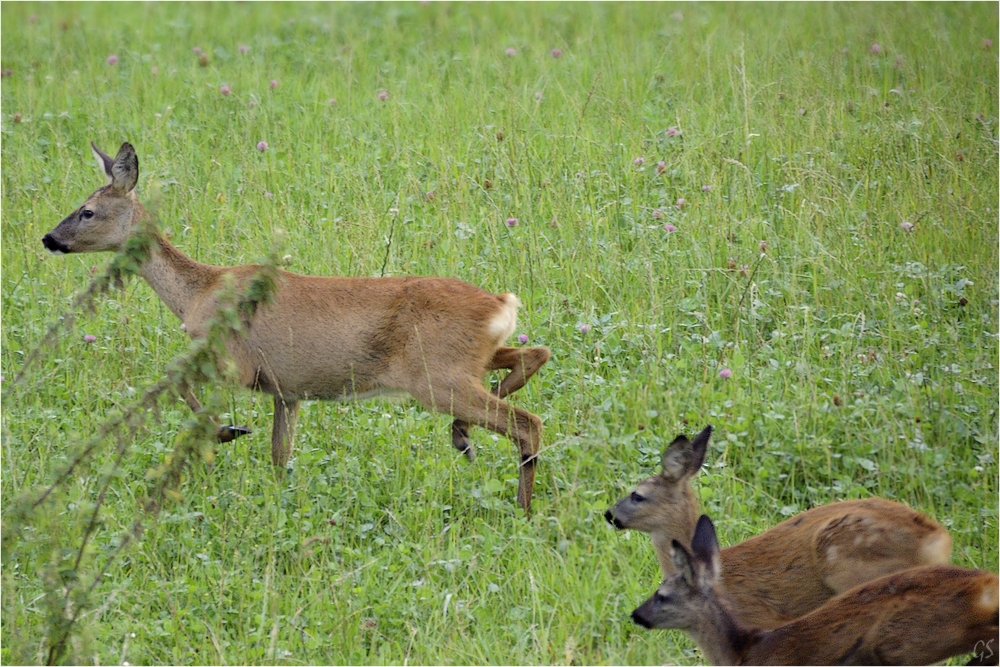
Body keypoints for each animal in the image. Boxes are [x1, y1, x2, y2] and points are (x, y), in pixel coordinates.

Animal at [41, 142, 556, 512]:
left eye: (87, 211)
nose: (49, 238)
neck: (197, 294)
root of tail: (500, 303)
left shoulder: (237, 362)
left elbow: (174, 382)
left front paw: (226, 431)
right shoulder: (286, 390)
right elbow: (279, 454)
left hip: (437, 375)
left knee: (527, 422)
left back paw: (521, 506)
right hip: (470, 361)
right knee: (534, 357)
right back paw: (464, 435)